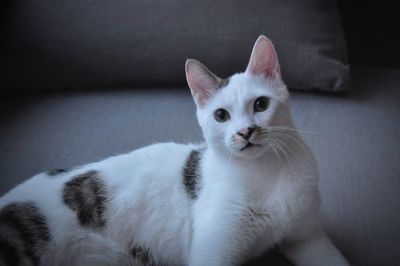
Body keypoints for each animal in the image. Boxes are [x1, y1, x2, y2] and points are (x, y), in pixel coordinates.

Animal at [0, 35, 348, 266]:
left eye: (261, 105)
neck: (264, 172)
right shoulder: (211, 253)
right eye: (221, 115)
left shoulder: (308, 238)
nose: (245, 132)